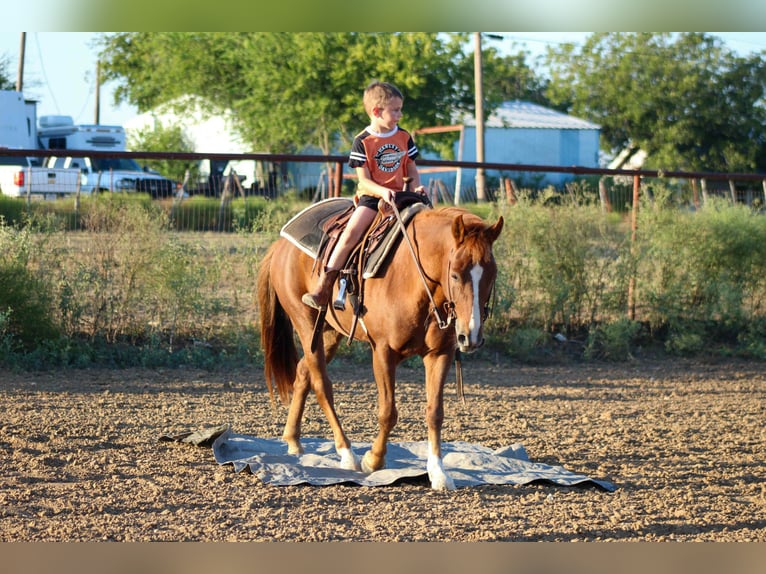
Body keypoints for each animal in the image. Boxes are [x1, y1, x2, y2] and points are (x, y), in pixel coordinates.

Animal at [256, 205, 504, 490]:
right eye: (455, 273)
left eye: (492, 274)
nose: (471, 336)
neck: (414, 280)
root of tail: (280, 245)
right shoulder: (384, 352)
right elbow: (388, 412)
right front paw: (373, 459)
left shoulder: (439, 355)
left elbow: (435, 412)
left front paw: (438, 472)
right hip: (306, 324)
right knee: (321, 385)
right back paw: (347, 454)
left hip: (328, 333)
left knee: (302, 374)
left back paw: (293, 440)